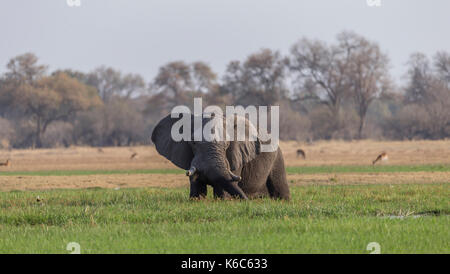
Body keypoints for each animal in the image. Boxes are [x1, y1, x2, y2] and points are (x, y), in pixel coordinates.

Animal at [151, 112, 292, 200]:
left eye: (227, 144)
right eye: (193, 143)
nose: (246, 201)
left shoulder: (236, 155)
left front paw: (223, 200)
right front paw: (196, 199)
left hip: (277, 158)